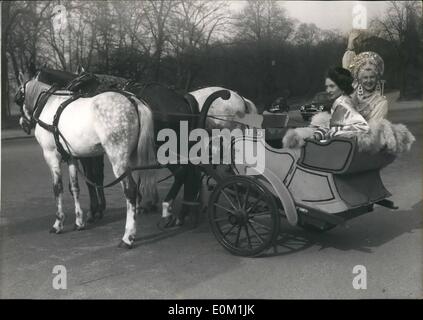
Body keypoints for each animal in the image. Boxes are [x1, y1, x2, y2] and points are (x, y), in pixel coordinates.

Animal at [17, 72, 157, 248]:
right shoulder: (71, 157)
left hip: (118, 159)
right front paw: (79, 221)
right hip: (133, 158)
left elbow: (58, 188)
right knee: (136, 186)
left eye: (18, 99)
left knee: (130, 190)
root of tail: (134, 100)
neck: (49, 105)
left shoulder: (51, 155)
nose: (23, 124)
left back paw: (128, 236)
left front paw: (58, 224)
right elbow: (74, 188)